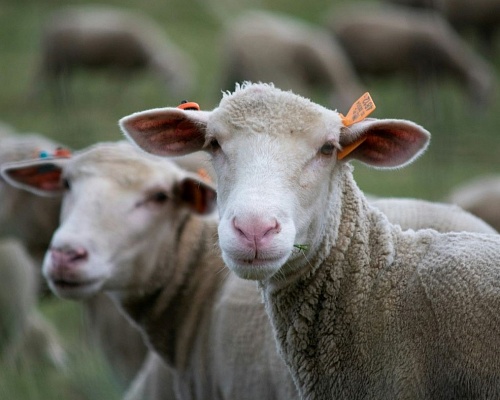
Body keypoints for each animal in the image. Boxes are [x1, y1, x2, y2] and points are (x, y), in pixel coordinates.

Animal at [326, 3, 494, 109]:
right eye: (478, 91)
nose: (479, 115)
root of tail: (335, 21)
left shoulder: (415, 68)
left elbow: (418, 89)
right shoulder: (422, 67)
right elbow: (422, 90)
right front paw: (424, 106)